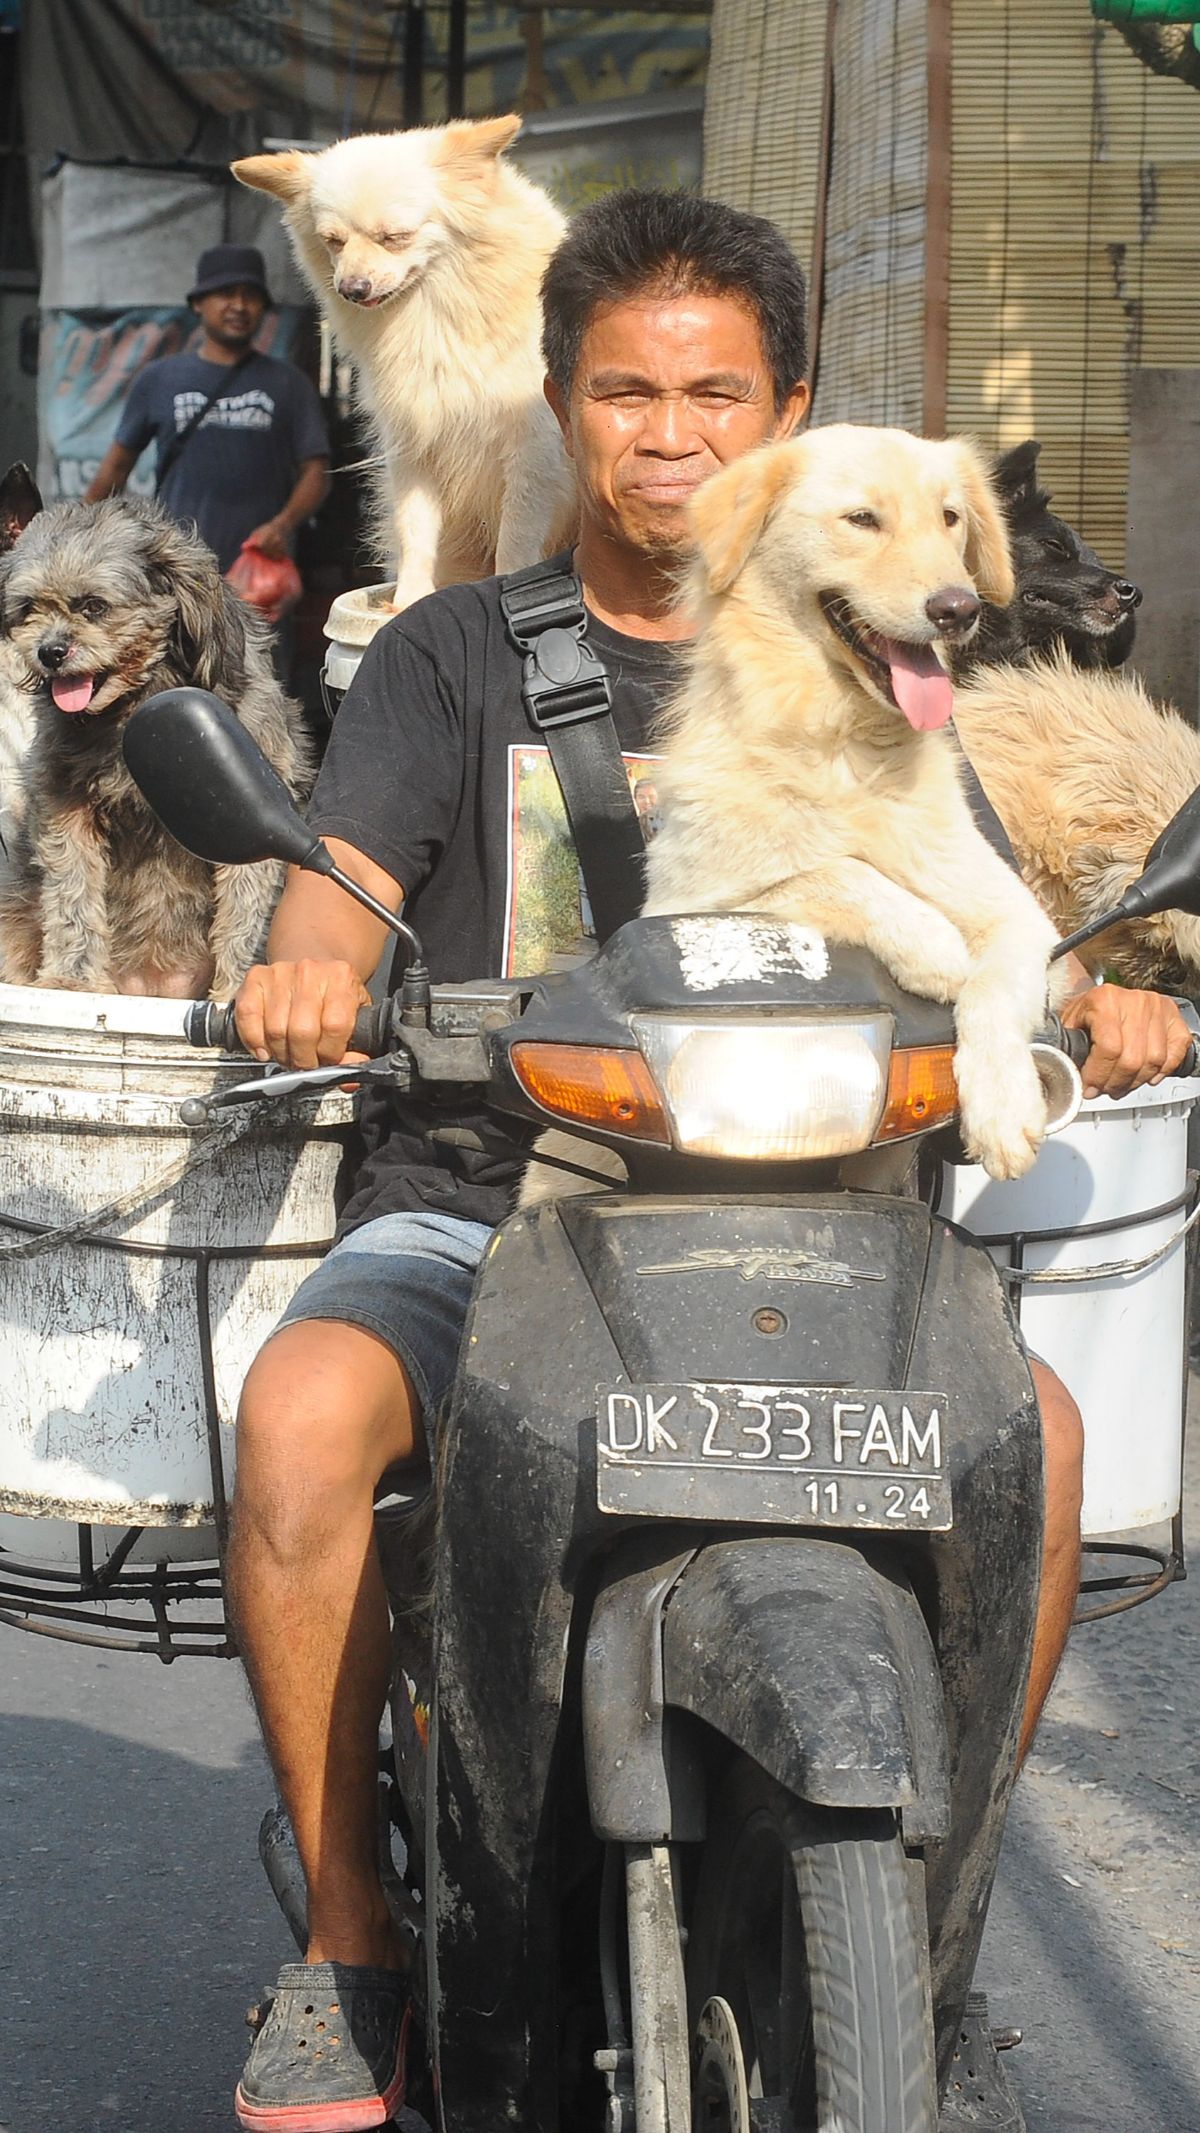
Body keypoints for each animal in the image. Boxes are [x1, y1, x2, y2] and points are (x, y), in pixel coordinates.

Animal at [1, 490, 309, 998]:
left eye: (94, 606)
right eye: (28, 608)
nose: (50, 652)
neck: (137, 705)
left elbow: (245, 903)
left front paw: (235, 989)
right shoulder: (66, 804)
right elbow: (73, 891)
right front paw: (73, 978)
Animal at [234, 117, 575, 610]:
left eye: (395, 237)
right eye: (333, 242)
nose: (352, 288)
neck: (429, 320)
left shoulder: (534, 452)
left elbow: (517, 536)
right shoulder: (415, 444)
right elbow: (415, 530)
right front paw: (409, 599)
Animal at [639, 422, 1061, 1177]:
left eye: (950, 518)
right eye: (862, 519)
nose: (959, 609)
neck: (843, 746)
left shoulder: (1019, 916)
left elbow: (994, 989)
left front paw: (1004, 1108)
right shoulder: (686, 904)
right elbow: (832, 871)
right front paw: (935, 948)